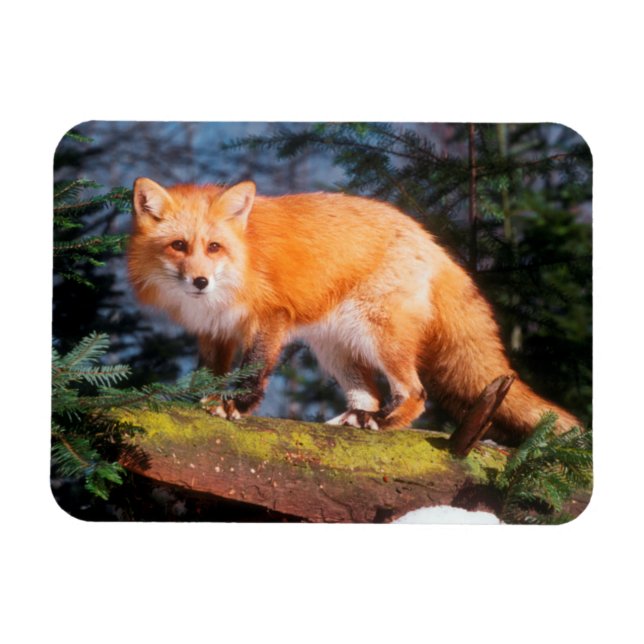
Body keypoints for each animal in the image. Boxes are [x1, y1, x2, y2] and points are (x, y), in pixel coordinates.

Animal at [127, 177, 582, 445]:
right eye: (179, 246)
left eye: (214, 247)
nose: (200, 282)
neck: (244, 258)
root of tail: (430, 241)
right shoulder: (215, 331)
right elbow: (208, 373)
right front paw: (195, 401)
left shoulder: (269, 318)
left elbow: (252, 371)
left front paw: (234, 406)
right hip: (335, 350)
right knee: (370, 394)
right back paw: (356, 419)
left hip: (377, 334)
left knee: (415, 393)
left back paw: (383, 423)